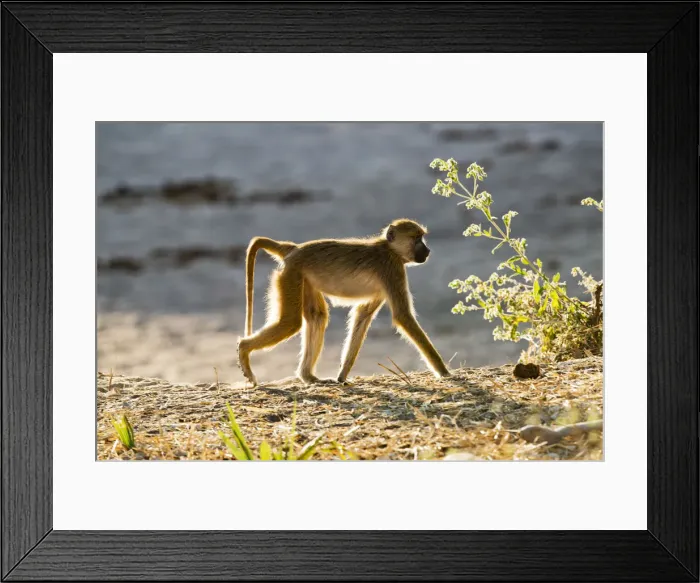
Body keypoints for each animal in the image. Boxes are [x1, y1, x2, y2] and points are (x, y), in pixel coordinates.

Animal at [237, 219, 451, 386]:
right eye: (416, 238)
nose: (427, 250)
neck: (389, 248)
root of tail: (293, 248)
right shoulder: (392, 269)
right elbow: (403, 316)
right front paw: (444, 373)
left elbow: (362, 315)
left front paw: (342, 376)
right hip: (291, 274)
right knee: (290, 323)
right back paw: (244, 349)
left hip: (302, 278)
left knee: (317, 317)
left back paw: (307, 377)